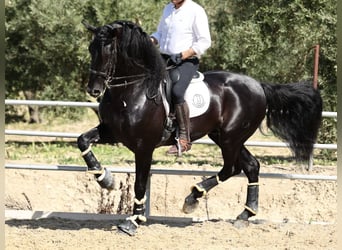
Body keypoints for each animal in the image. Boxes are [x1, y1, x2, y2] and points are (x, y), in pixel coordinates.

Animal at [77, 20, 320, 235]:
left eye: (109, 50)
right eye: (91, 49)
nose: (93, 90)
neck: (133, 91)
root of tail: (259, 85)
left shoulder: (144, 146)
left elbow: (139, 184)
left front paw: (133, 222)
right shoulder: (112, 133)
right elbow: (83, 140)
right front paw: (105, 179)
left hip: (231, 137)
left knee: (231, 168)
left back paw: (193, 197)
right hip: (223, 136)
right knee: (251, 166)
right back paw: (244, 215)